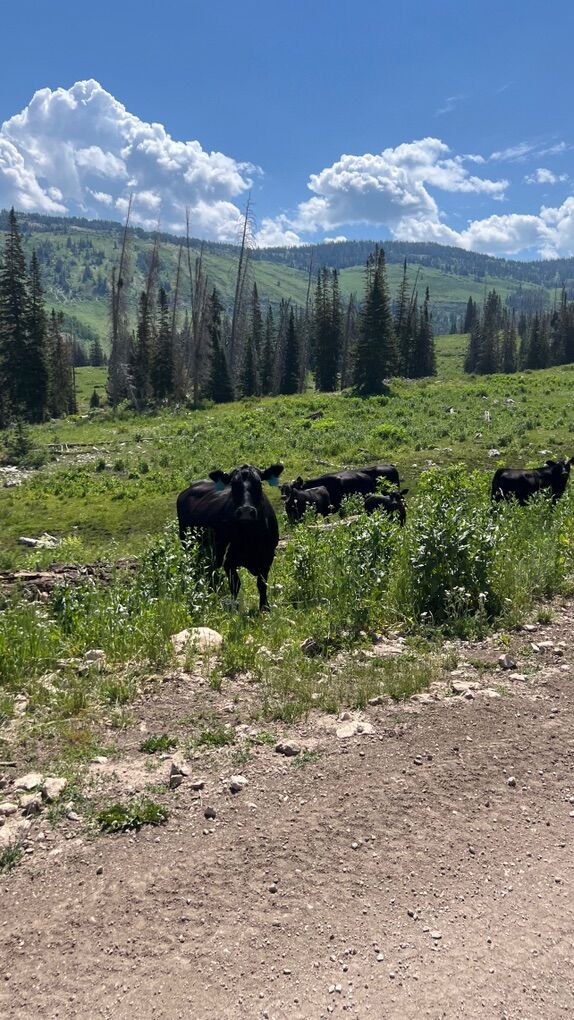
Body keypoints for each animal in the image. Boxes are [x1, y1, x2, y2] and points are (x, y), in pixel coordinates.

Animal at [176, 462, 284, 610]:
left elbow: (262, 584)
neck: (250, 536)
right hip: (188, 545)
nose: (245, 511)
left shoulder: (267, 557)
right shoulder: (228, 560)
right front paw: (234, 608)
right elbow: (235, 585)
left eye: (259, 483)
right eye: (233, 485)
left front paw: (264, 607)